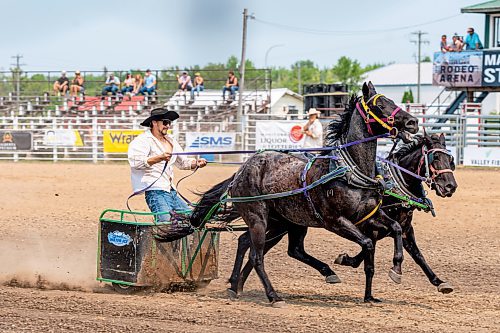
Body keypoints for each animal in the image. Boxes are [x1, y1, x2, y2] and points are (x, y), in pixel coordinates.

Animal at [190, 81, 418, 304]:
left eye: (391, 100)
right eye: (379, 105)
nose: (413, 122)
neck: (349, 171)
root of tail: (240, 172)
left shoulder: (370, 215)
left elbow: (396, 228)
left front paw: (394, 270)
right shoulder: (336, 221)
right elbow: (368, 243)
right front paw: (355, 263)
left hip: (284, 221)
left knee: (269, 245)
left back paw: (237, 286)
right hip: (258, 218)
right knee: (257, 256)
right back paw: (273, 296)